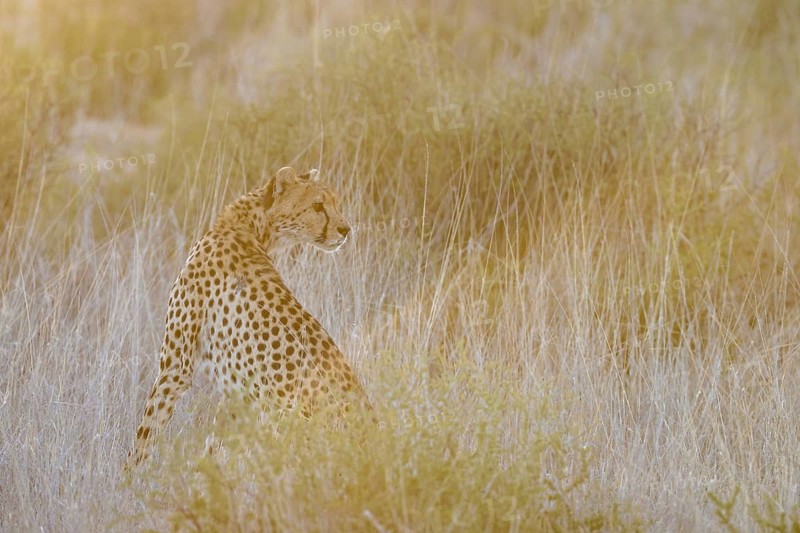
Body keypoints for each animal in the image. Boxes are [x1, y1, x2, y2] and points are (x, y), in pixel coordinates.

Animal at [126, 166, 369, 469]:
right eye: (318, 206)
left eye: (335, 203)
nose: (346, 229)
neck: (250, 226)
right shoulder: (236, 392)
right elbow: (214, 442)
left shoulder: (175, 368)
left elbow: (146, 432)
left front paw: (129, 477)